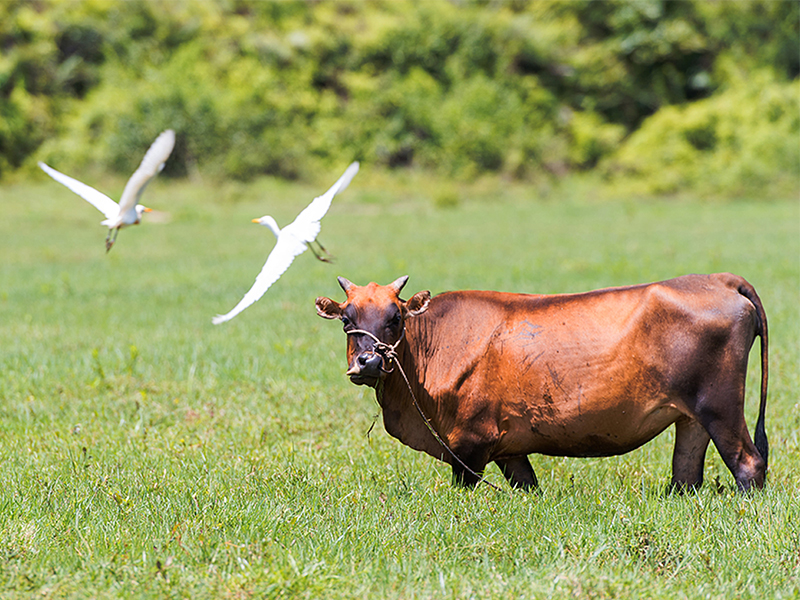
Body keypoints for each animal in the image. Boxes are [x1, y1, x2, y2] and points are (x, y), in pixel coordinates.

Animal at [314, 274, 768, 490]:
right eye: (347, 319)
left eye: (395, 317)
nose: (369, 361)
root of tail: (720, 278)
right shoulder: (509, 449)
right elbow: (529, 485)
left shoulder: (469, 444)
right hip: (691, 417)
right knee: (685, 476)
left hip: (721, 407)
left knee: (749, 464)